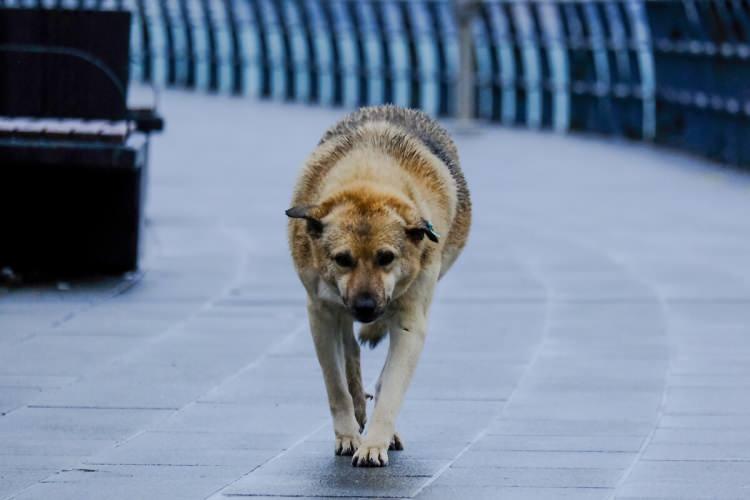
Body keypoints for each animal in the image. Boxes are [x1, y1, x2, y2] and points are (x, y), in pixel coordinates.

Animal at [284, 105, 472, 468]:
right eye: (342, 259)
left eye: (386, 257)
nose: (366, 307)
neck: (368, 180)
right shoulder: (320, 312)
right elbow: (336, 384)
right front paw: (347, 435)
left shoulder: (412, 317)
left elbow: (393, 387)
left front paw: (374, 444)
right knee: (349, 349)